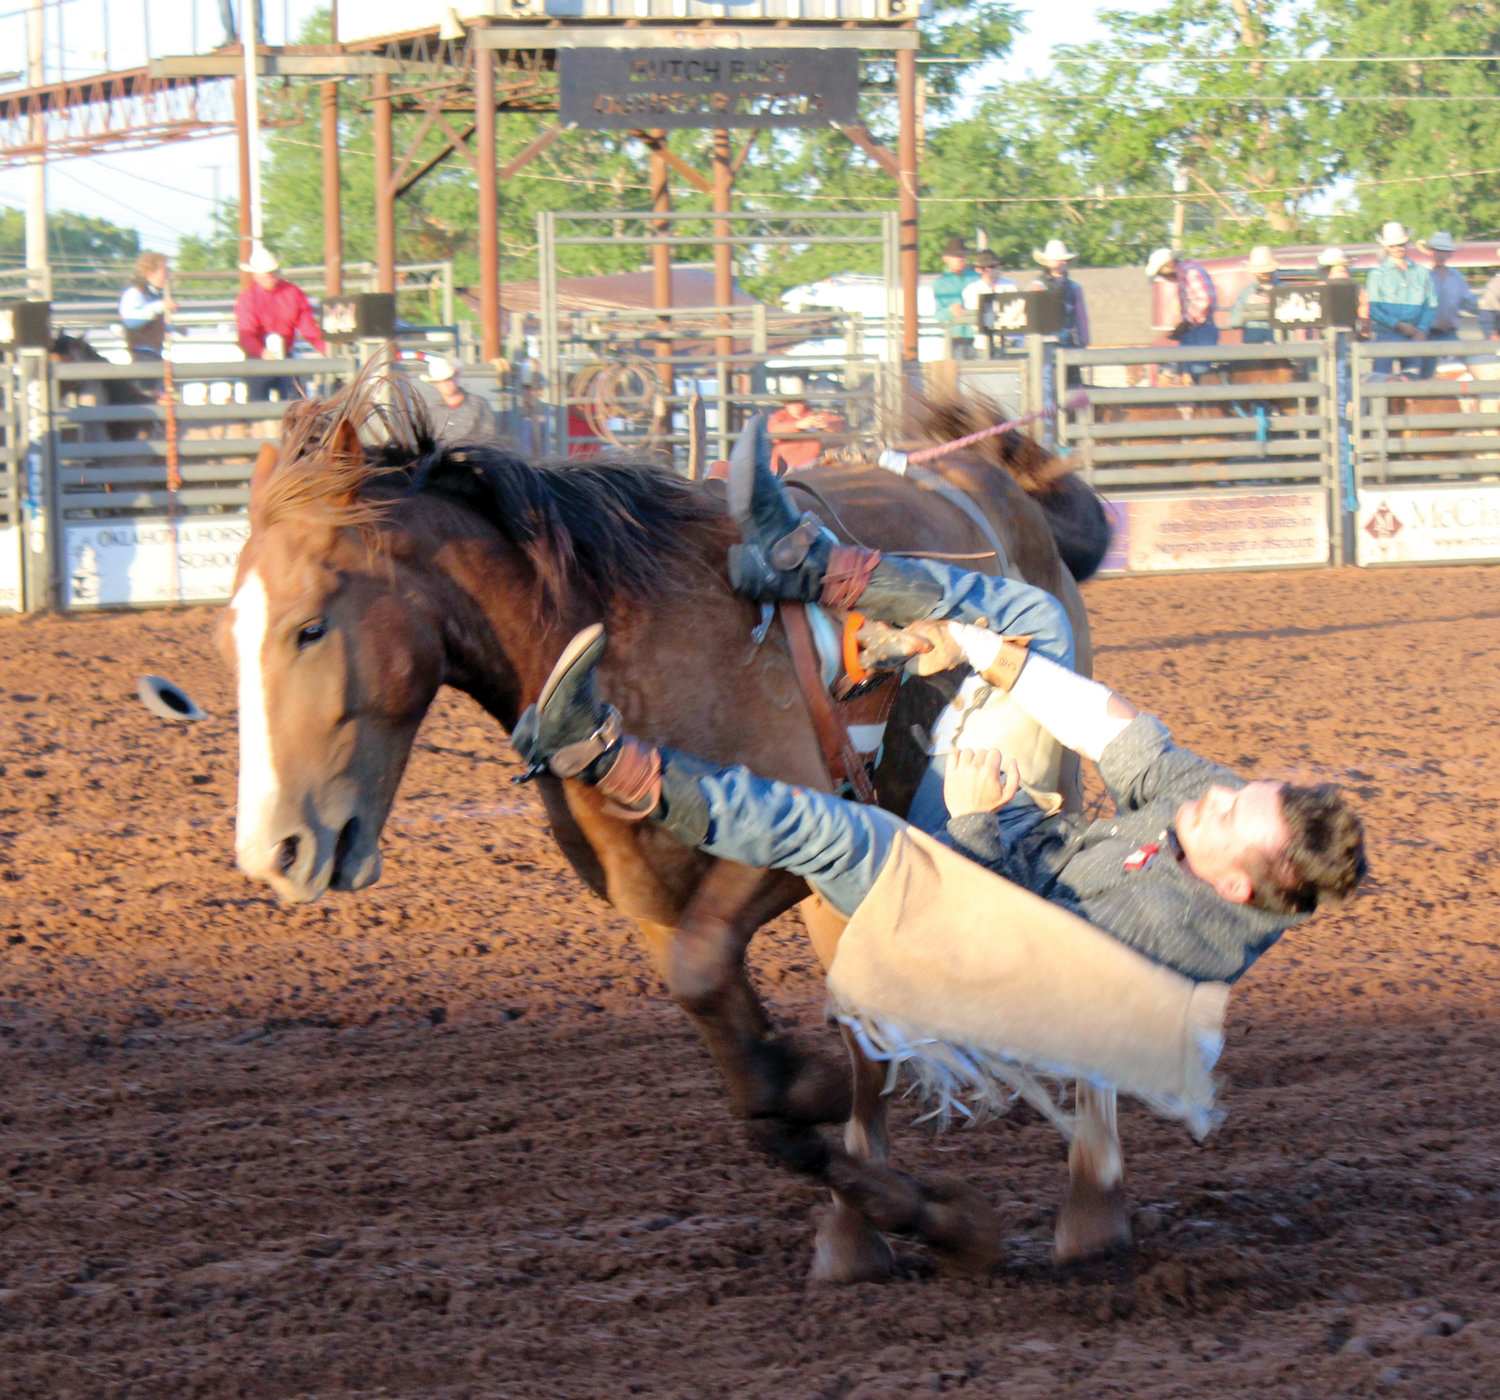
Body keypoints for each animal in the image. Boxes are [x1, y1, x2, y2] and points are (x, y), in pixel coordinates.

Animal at [217, 379, 1122, 1278]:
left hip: (1042, 781)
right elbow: (753, 1088)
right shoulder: (652, 904)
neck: (627, 645)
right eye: (232, 636)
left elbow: (734, 1008)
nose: (276, 851)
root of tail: (994, 477)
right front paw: (928, 1209)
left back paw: (1093, 1204)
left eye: (309, 626)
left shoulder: (798, 842)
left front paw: (816, 1093)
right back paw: (857, 1239)